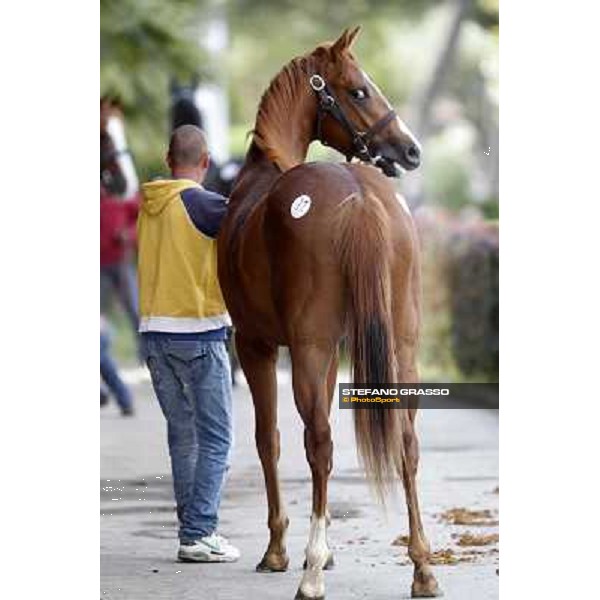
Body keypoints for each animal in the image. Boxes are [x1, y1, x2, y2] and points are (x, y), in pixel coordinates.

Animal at [217, 29, 440, 600]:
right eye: (359, 90)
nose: (410, 149)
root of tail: (358, 195)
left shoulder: (257, 345)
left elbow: (269, 440)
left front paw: (280, 550)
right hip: (401, 345)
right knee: (406, 442)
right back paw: (423, 569)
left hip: (309, 349)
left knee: (319, 442)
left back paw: (312, 573)